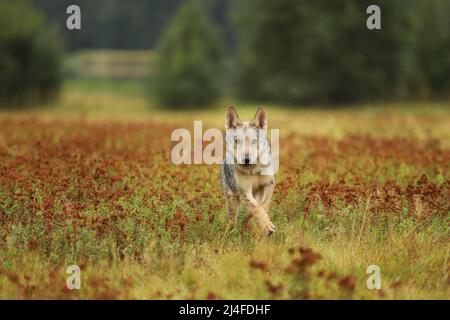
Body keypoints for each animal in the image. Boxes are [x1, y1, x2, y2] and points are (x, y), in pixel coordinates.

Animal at [220, 107, 276, 235]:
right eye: (237, 141)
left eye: (254, 141)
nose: (246, 159)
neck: (252, 170)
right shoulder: (245, 192)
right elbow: (256, 208)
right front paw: (266, 226)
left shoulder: (269, 184)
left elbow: (262, 206)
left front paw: (265, 225)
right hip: (232, 199)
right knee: (232, 220)